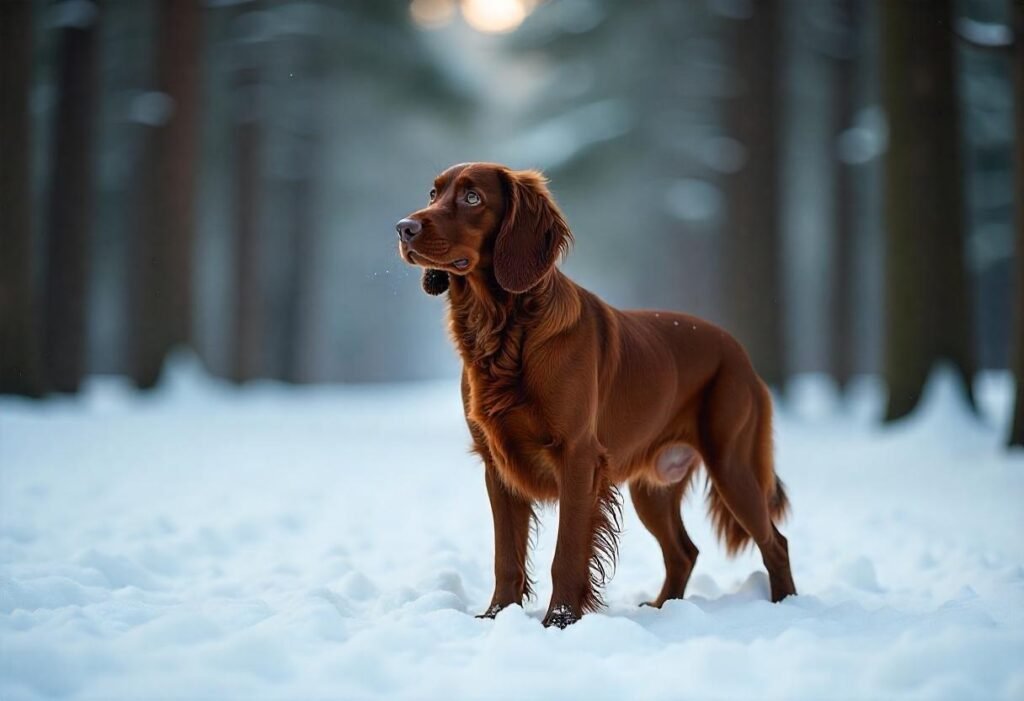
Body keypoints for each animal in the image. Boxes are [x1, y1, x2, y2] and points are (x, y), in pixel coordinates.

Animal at [395, 163, 794, 630]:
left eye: (472, 197)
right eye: (433, 192)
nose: (403, 228)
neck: (503, 330)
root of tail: (739, 352)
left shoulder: (578, 457)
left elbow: (567, 552)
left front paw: (559, 621)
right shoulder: (497, 463)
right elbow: (505, 556)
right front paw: (497, 616)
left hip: (733, 466)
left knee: (775, 542)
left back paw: (787, 606)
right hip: (653, 488)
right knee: (684, 552)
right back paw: (664, 608)